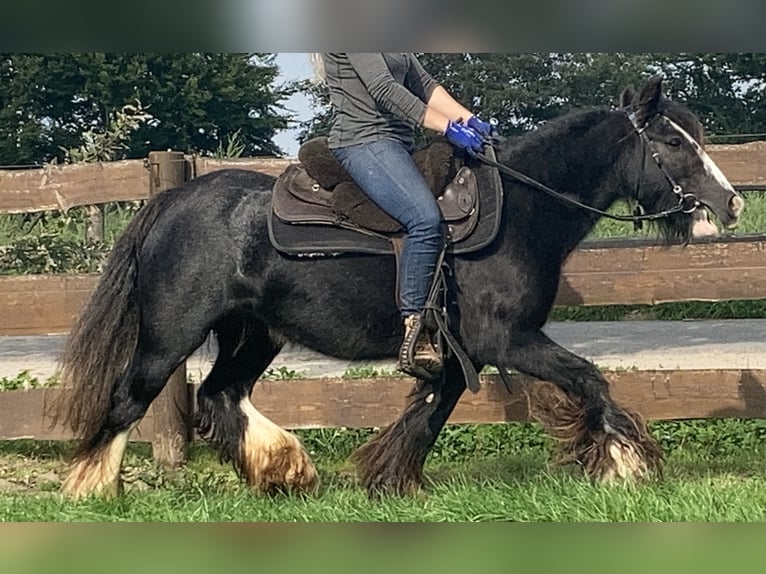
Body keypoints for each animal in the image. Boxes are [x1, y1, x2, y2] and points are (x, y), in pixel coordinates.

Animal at [57, 75, 748, 500]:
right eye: (672, 143)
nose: (732, 203)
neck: (520, 208)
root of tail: (172, 199)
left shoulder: (461, 352)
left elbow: (430, 410)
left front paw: (391, 480)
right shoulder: (507, 340)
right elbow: (590, 380)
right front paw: (625, 464)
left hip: (254, 334)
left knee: (221, 395)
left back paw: (284, 468)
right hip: (169, 335)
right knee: (130, 399)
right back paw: (91, 487)